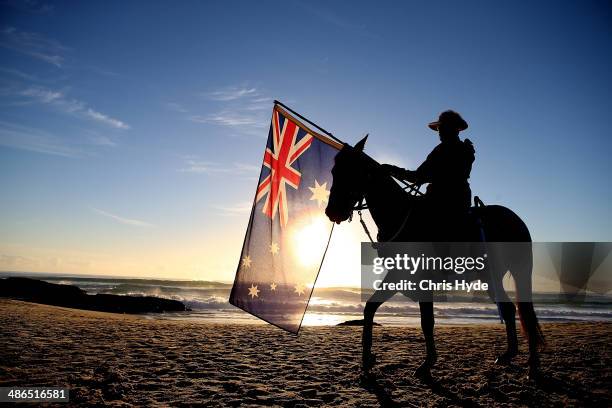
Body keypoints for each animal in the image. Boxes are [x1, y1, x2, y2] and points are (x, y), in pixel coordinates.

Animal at [326, 136, 544, 380]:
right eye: (334, 170)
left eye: (352, 171)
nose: (332, 211)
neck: (400, 216)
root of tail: (516, 220)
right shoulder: (397, 276)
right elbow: (370, 308)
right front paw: (366, 358)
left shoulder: (421, 280)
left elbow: (427, 321)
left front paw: (427, 363)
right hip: (491, 278)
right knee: (509, 309)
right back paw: (510, 354)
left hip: (509, 272)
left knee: (521, 311)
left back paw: (532, 365)